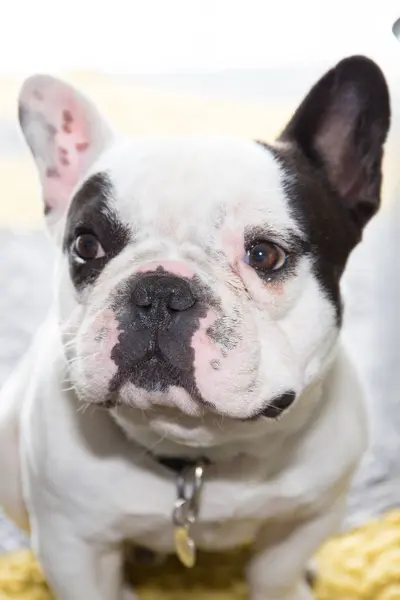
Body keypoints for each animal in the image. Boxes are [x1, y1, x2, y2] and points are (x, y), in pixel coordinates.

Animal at [0, 56, 390, 600]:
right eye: (86, 245)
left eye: (265, 255)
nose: (160, 292)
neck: (200, 457)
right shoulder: (71, 544)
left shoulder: (310, 517)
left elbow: (276, 570)